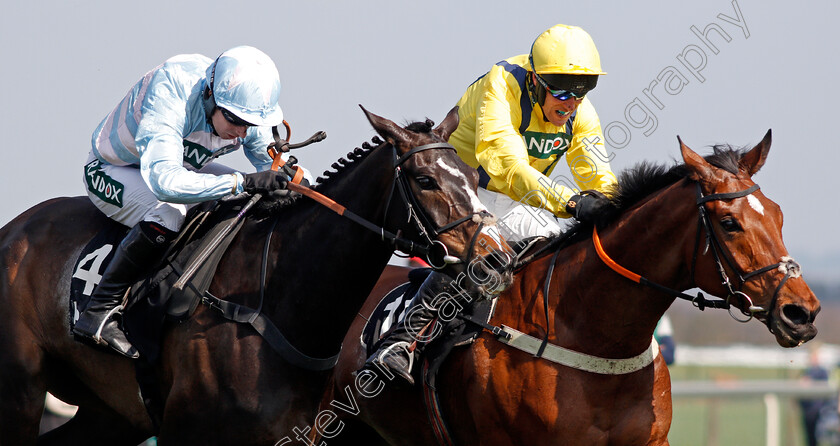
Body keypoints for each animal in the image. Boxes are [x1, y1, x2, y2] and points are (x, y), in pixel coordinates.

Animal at [0, 106, 506, 444]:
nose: (495, 258)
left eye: (472, 175)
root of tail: (14, 230)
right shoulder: (186, 432)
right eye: (425, 180)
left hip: (108, 412)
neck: (272, 303)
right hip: (22, 392)